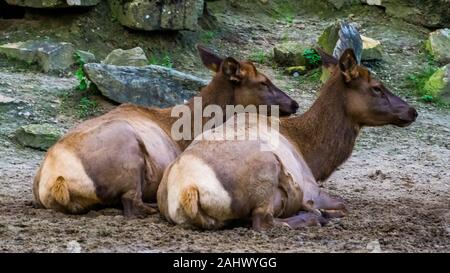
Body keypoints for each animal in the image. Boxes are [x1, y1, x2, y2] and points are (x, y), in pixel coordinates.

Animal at [33, 44, 300, 217]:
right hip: (128, 151)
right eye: (263, 82)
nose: (294, 103)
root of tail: (56, 180)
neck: (187, 128)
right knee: (132, 203)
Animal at [158, 47, 418, 228]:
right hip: (268, 168)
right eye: (376, 87)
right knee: (264, 221)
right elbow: (344, 205)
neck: (309, 152)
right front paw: (323, 212)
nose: (412, 111)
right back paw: (315, 217)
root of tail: (188, 191)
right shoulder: (311, 186)